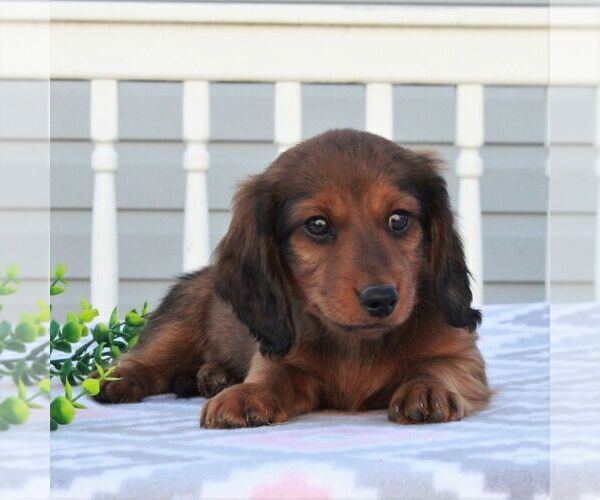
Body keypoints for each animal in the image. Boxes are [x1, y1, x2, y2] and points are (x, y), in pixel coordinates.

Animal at [99, 128, 492, 426]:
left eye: (399, 219)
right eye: (317, 225)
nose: (381, 299)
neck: (357, 345)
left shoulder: (462, 355)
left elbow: (438, 367)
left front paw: (428, 389)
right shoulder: (281, 359)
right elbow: (273, 379)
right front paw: (246, 395)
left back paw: (214, 376)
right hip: (178, 321)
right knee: (145, 360)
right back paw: (117, 380)